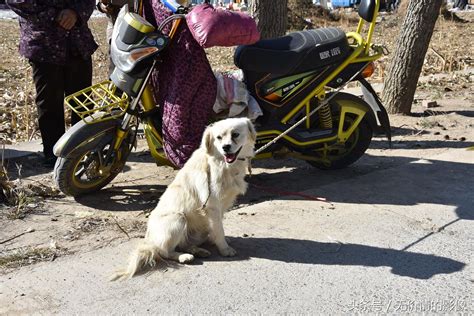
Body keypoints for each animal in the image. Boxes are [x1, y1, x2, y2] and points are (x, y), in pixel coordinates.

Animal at [112, 116, 256, 278]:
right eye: (219, 137)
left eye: (235, 135)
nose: (225, 147)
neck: (222, 163)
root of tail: (150, 240)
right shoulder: (212, 205)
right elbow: (219, 229)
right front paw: (224, 248)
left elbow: (217, 228)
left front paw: (221, 241)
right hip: (178, 219)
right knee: (164, 252)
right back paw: (184, 257)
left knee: (184, 244)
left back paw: (198, 250)